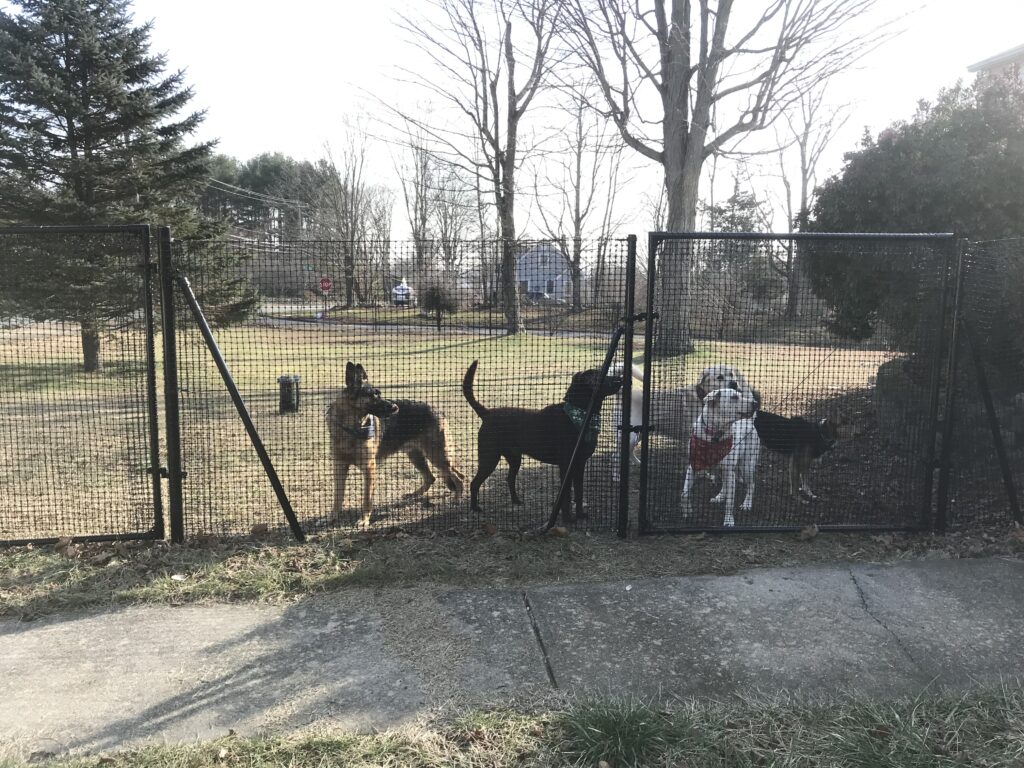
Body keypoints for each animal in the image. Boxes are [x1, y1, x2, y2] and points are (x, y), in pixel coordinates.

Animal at [327, 364, 464, 528]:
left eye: (379, 394)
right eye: (373, 396)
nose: (395, 407)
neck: (351, 428)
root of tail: (438, 410)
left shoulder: (369, 468)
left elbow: (367, 498)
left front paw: (364, 520)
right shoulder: (339, 467)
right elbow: (337, 496)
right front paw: (333, 516)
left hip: (437, 456)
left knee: (458, 477)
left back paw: (457, 499)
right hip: (416, 456)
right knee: (431, 477)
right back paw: (415, 494)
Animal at [466, 360, 622, 528]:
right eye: (597, 376)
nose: (619, 379)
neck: (580, 415)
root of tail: (487, 413)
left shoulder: (580, 465)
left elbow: (579, 492)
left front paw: (580, 514)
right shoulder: (566, 466)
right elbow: (566, 496)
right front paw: (567, 518)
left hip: (514, 459)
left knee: (509, 479)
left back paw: (516, 501)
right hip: (489, 459)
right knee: (474, 483)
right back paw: (474, 508)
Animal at [679, 387, 761, 528]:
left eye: (740, 395)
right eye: (734, 397)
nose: (755, 403)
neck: (714, 435)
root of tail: (750, 422)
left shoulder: (729, 471)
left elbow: (730, 501)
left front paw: (728, 520)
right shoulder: (693, 466)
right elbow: (684, 493)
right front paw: (687, 511)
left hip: (746, 466)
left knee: (751, 485)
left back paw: (746, 504)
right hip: (722, 468)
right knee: (725, 484)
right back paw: (720, 496)